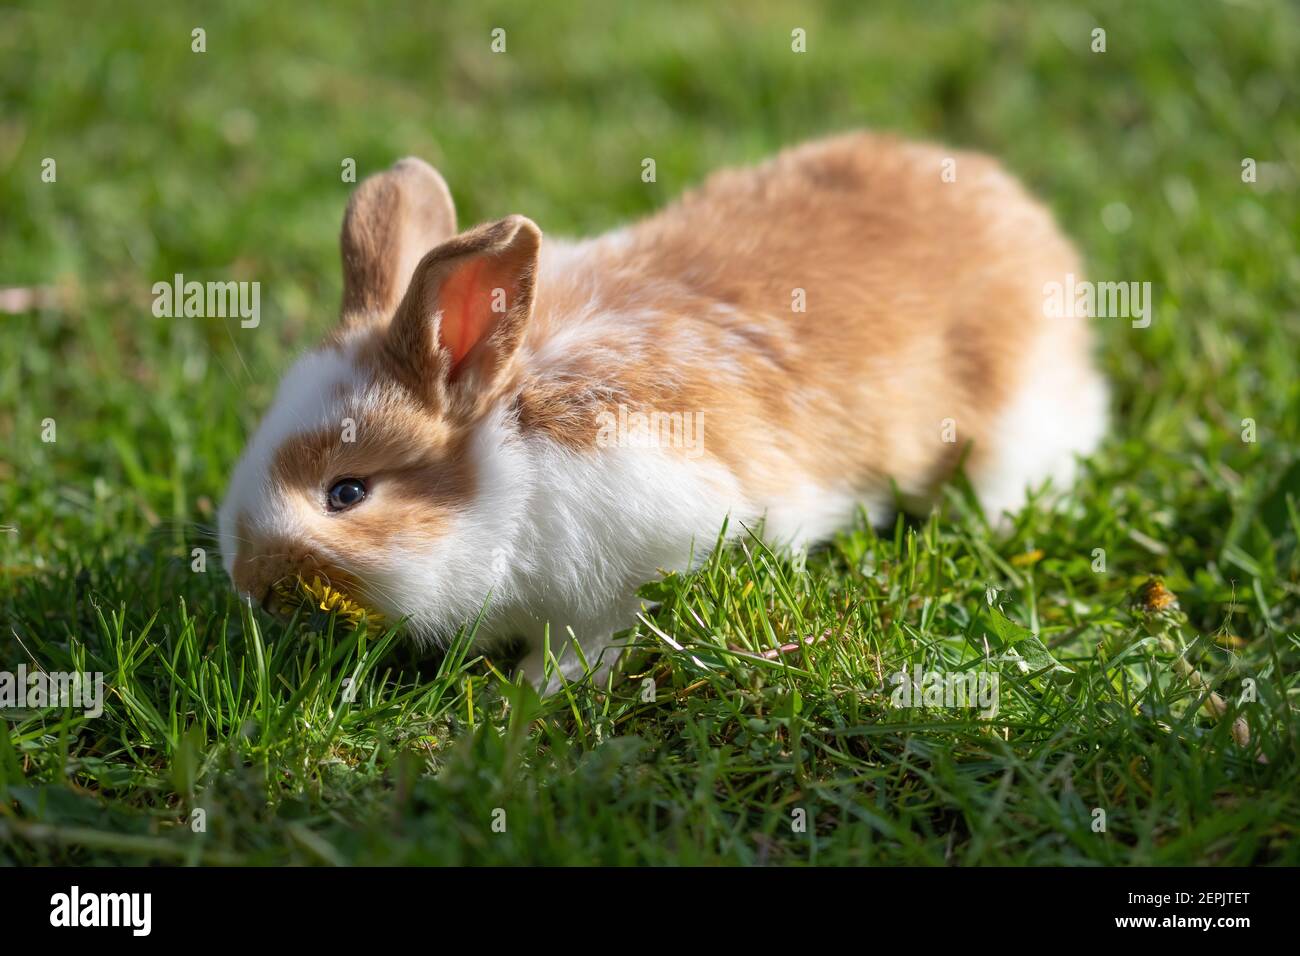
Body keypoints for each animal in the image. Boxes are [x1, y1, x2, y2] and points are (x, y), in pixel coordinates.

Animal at [218, 131, 1107, 688]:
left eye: (346, 493)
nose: (247, 583)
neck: (512, 458)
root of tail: (1019, 215)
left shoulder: (636, 563)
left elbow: (598, 639)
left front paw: (531, 693)